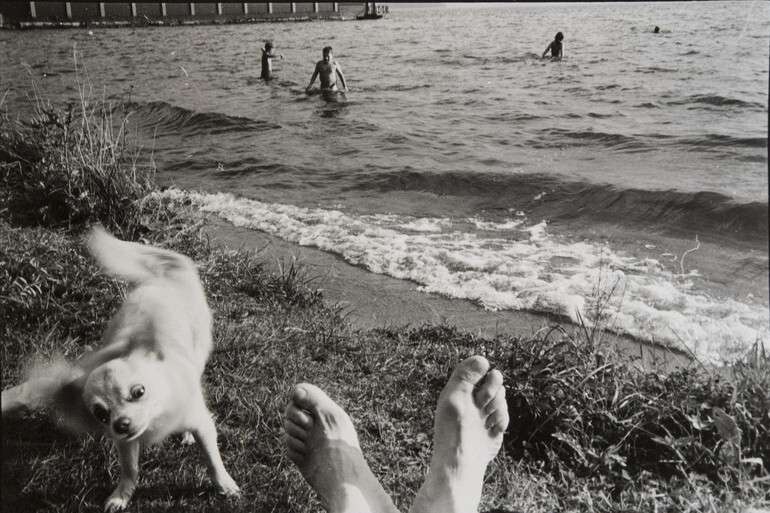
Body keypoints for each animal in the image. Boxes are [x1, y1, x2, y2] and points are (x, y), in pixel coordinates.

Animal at [1, 227, 240, 511]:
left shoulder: (202, 425)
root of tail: (160, 280)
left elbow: (212, 459)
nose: (121, 424)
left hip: (199, 349)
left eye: (139, 392)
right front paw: (122, 495)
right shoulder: (126, 443)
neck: (156, 418)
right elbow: (130, 469)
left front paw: (224, 484)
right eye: (101, 414)